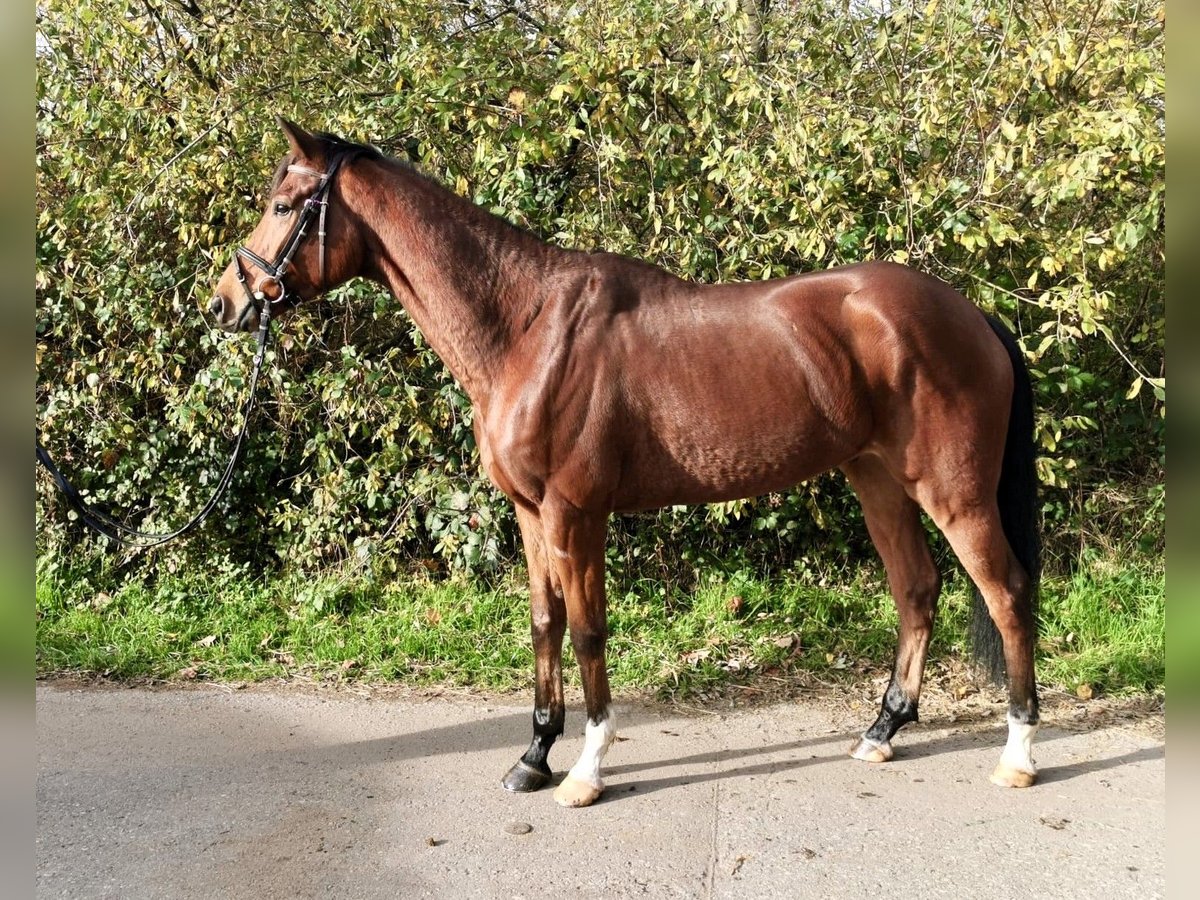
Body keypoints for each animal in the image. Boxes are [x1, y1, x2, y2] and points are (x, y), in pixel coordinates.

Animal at [210, 120, 1041, 808]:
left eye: (283, 206)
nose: (226, 302)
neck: (527, 329)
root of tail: (972, 314)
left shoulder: (575, 514)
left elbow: (587, 631)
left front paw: (584, 769)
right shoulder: (530, 515)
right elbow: (544, 623)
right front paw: (532, 757)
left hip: (954, 491)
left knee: (1004, 592)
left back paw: (1019, 752)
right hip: (878, 481)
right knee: (917, 590)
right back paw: (881, 732)